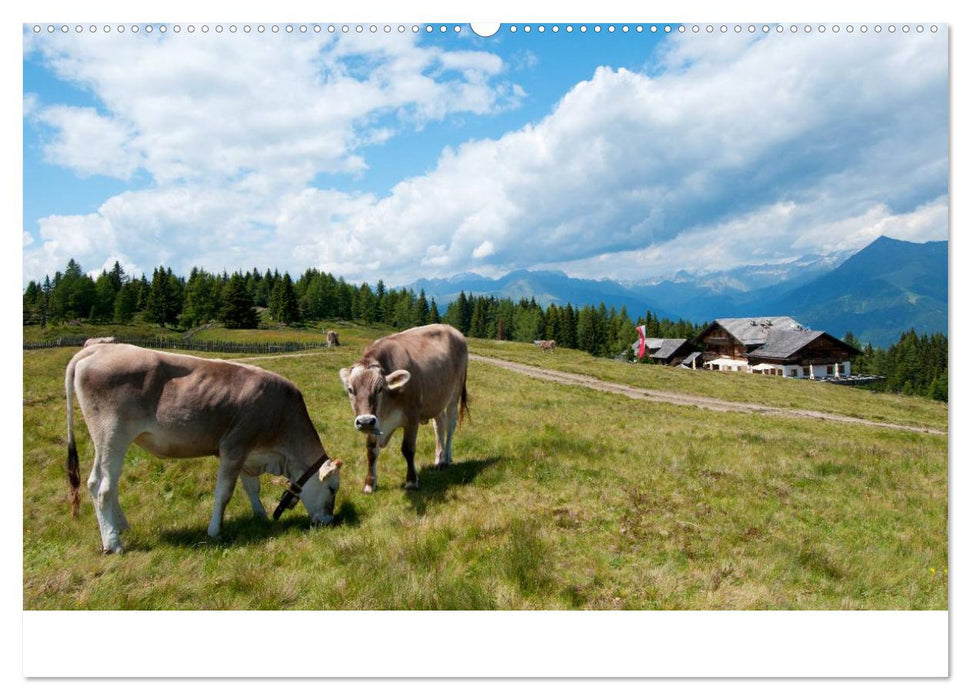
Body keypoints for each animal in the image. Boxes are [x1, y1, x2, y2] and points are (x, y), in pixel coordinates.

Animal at [65, 344, 342, 552]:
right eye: (332, 489)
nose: (329, 521)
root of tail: (100, 347)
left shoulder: (248, 453)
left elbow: (252, 488)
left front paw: (260, 515)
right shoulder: (234, 447)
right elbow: (224, 493)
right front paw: (215, 531)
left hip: (107, 442)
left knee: (104, 483)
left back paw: (121, 527)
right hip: (112, 435)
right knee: (102, 486)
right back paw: (113, 542)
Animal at [340, 324, 468, 492]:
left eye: (379, 388)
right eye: (350, 390)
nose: (365, 421)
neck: (385, 410)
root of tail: (452, 329)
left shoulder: (412, 417)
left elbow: (408, 449)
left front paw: (411, 481)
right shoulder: (375, 421)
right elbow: (371, 450)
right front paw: (369, 483)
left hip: (454, 394)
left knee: (450, 426)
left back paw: (446, 458)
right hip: (437, 399)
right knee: (439, 425)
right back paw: (439, 460)